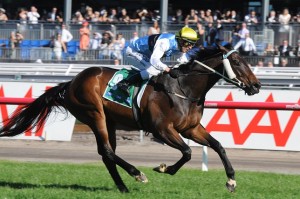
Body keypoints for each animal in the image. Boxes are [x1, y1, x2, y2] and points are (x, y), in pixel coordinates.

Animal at [0, 44, 260, 193]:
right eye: (237, 62)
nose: (256, 86)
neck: (184, 88)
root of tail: (71, 83)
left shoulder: (191, 128)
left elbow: (218, 146)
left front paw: (231, 181)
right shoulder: (162, 129)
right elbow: (187, 152)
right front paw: (164, 168)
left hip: (110, 122)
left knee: (106, 154)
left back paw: (123, 186)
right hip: (95, 115)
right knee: (107, 151)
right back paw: (137, 174)